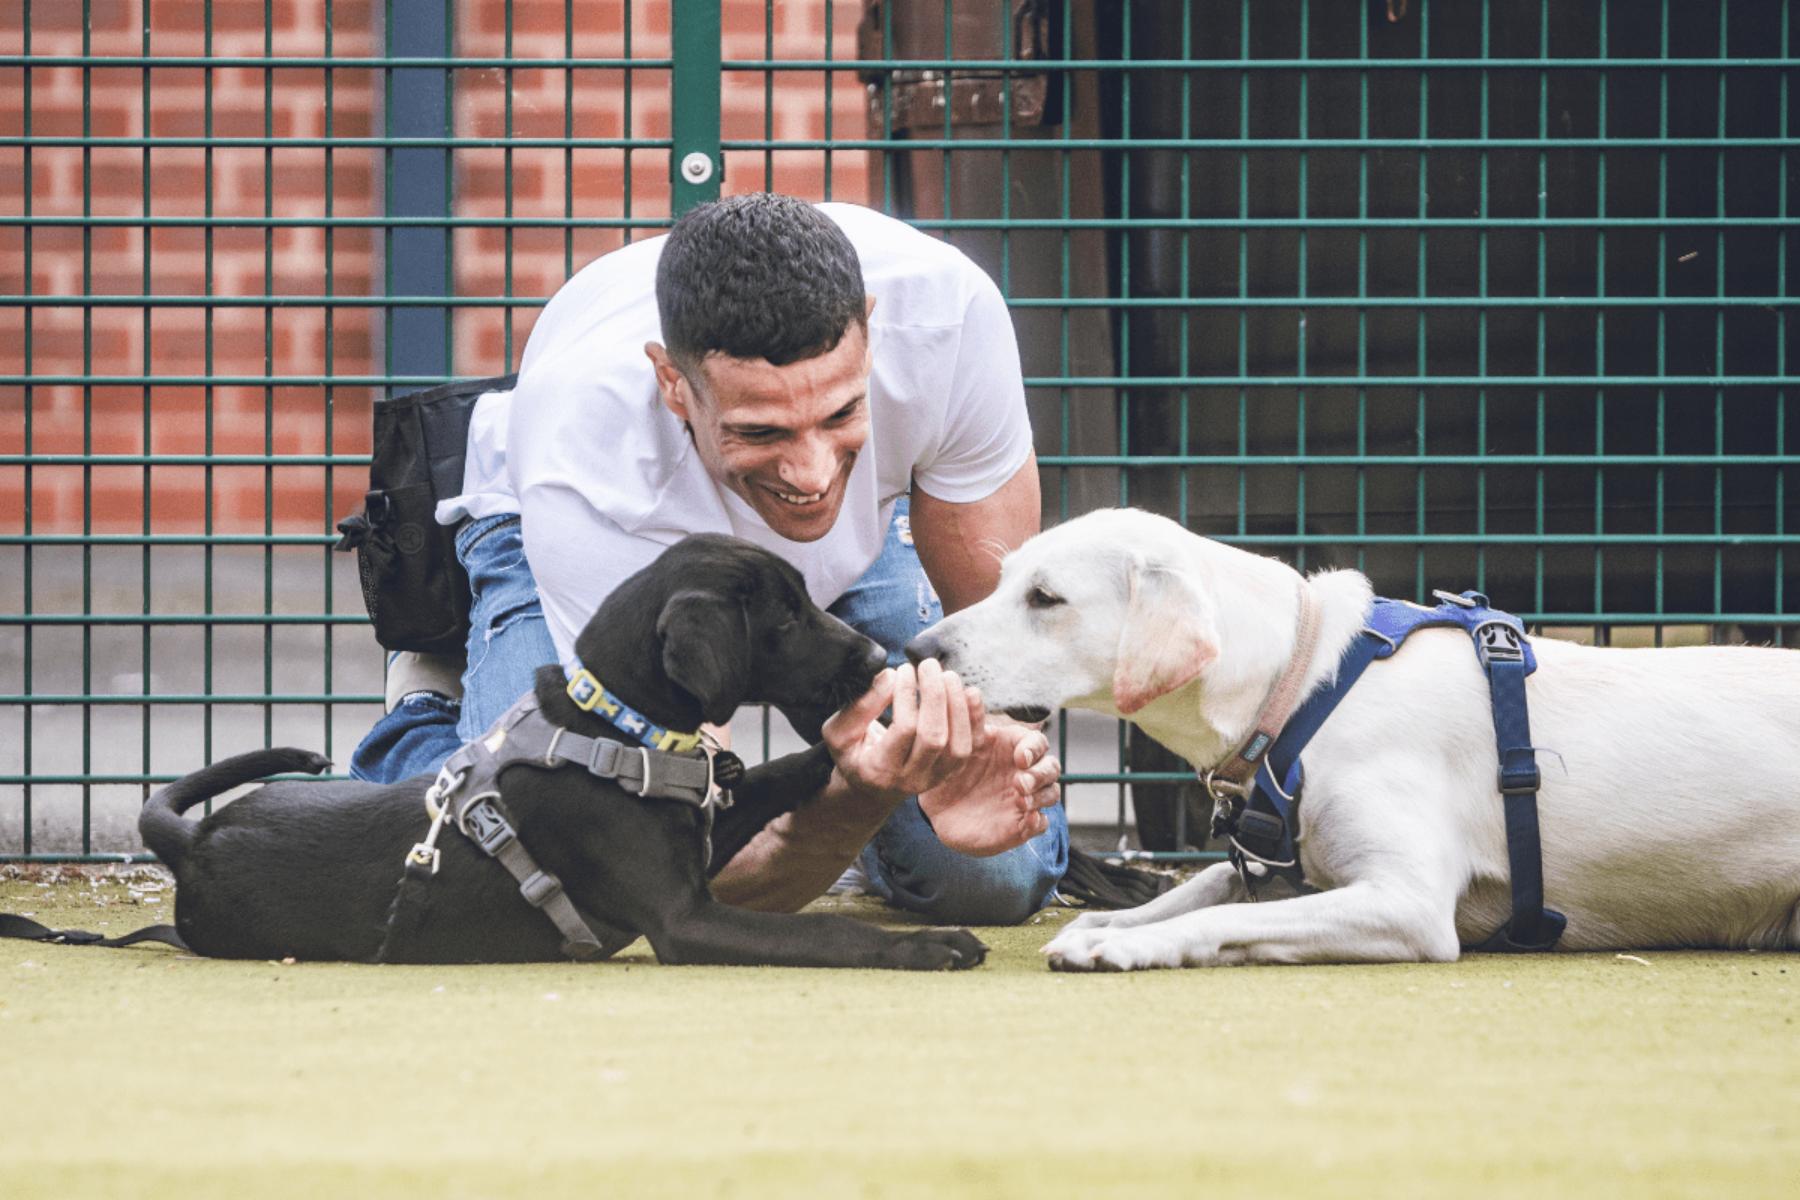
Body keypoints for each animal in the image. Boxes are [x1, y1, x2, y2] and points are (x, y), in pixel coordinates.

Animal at [138, 539, 993, 971]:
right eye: (783, 618)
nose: (878, 661)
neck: (621, 732)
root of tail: (196, 839)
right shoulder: (685, 921)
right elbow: (829, 936)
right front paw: (928, 945)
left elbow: (775, 775)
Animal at [914, 510, 1800, 971]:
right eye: (1003, 580)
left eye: (1045, 597)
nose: (920, 650)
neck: (1306, 686)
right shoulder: (1284, 868)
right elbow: (1204, 885)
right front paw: (1107, 925)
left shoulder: (1408, 904)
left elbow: (1211, 914)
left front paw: (1137, 945)